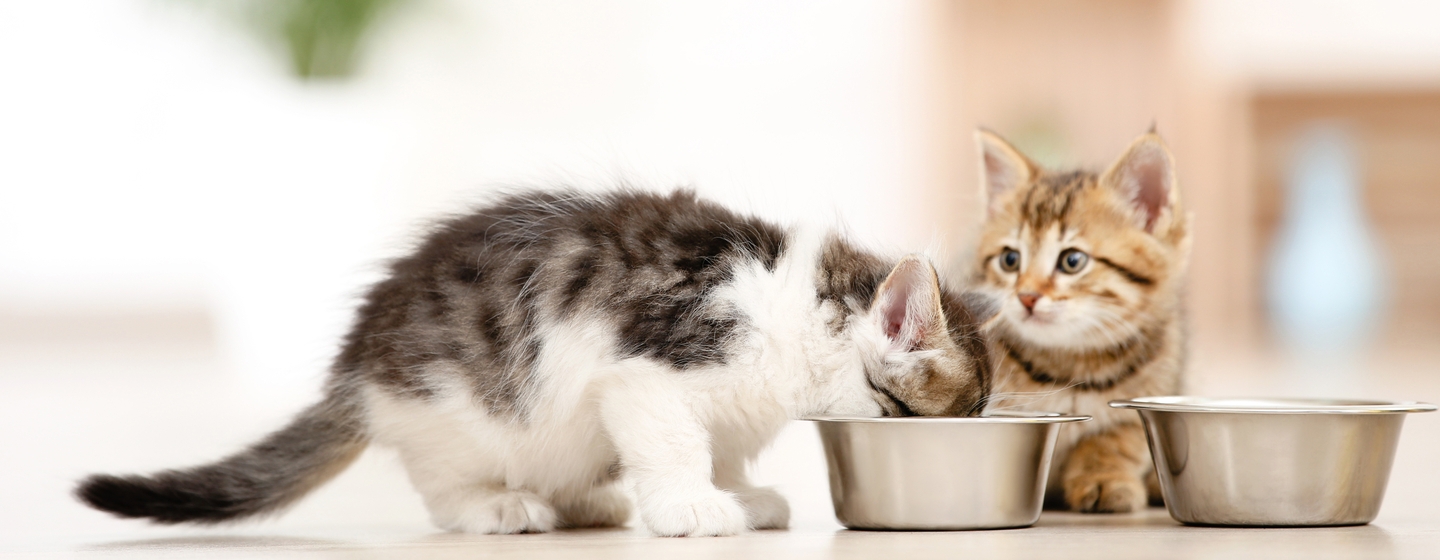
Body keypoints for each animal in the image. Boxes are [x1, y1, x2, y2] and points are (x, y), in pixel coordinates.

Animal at [78, 188, 996, 535]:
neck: (803, 310)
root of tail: (358, 365)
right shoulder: (648, 373)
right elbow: (677, 443)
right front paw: (694, 506)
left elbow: (726, 446)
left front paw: (739, 491)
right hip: (455, 413)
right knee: (445, 488)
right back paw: (500, 508)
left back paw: (589, 499)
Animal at [967, 128, 1192, 512]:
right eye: (1010, 260)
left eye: (1072, 261)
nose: (1026, 296)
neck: (1069, 365)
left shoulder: (1154, 384)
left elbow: (1115, 441)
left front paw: (1104, 479)